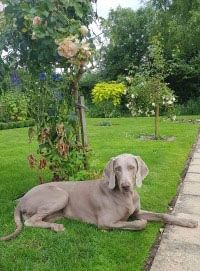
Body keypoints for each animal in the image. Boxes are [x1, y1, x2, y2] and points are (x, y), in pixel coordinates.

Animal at [0, 154, 197, 241]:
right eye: (117, 169)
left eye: (132, 167)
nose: (126, 185)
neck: (126, 196)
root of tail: (22, 198)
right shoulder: (105, 221)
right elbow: (140, 223)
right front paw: (134, 224)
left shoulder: (137, 211)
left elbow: (162, 215)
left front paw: (187, 221)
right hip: (61, 195)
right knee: (29, 221)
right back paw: (56, 227)